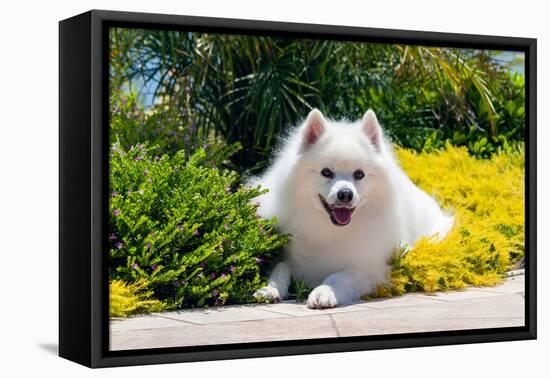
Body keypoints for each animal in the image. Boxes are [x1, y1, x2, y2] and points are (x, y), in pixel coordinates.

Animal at [252, 108, 454, 308]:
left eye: (359, 174)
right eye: (326, 172)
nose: (345, 194)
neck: (331, 230)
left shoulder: (371, 267)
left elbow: (339, 277)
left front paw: (324, 292)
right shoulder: (287, 255)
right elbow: (280, 268)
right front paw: (270, 289)